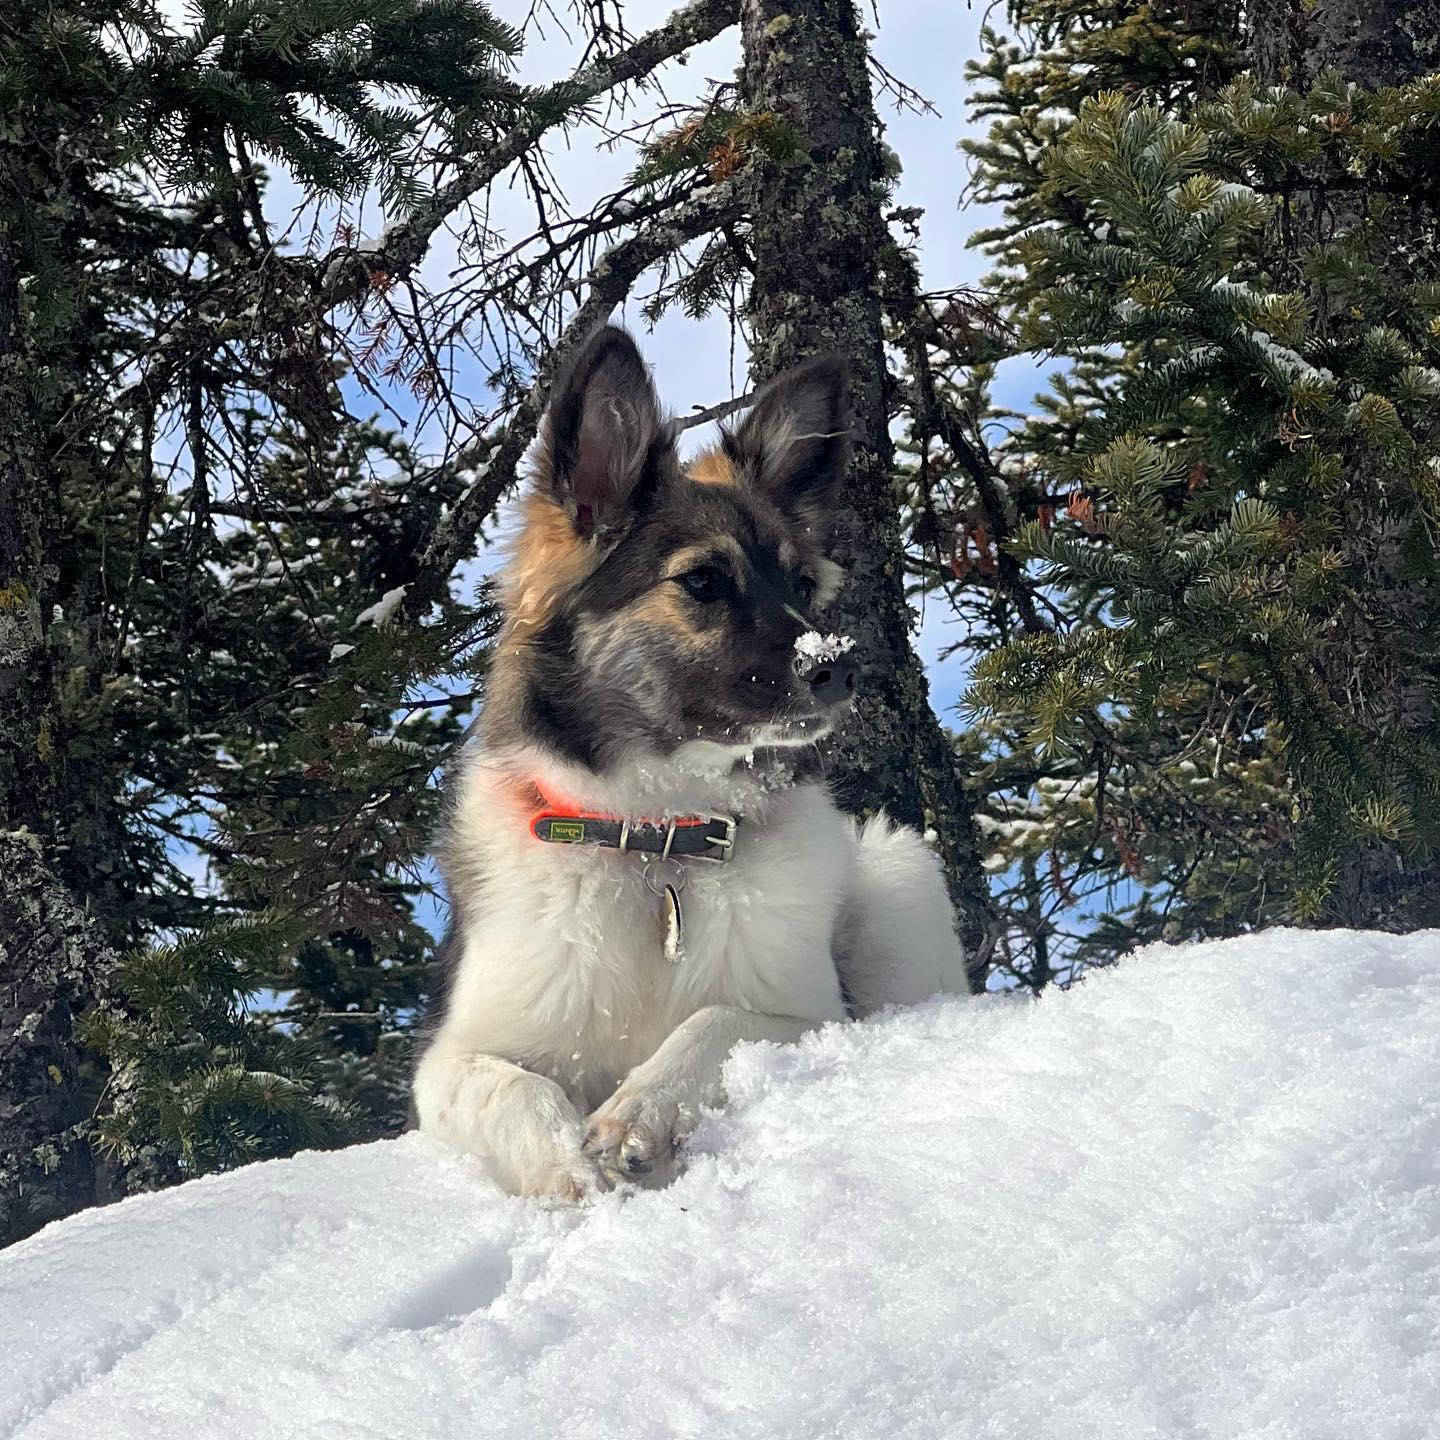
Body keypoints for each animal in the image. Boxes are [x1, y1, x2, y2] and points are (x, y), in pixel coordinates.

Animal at [411, 331, 967, 1198]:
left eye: (800, 582)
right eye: (702, 581)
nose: (839, 666)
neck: (655, 839)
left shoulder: (808, 1016)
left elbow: (716, 1022)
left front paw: (638, 1114)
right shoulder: (452, 1056)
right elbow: (514, 1088)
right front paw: (565, 1167)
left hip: (900, 873)